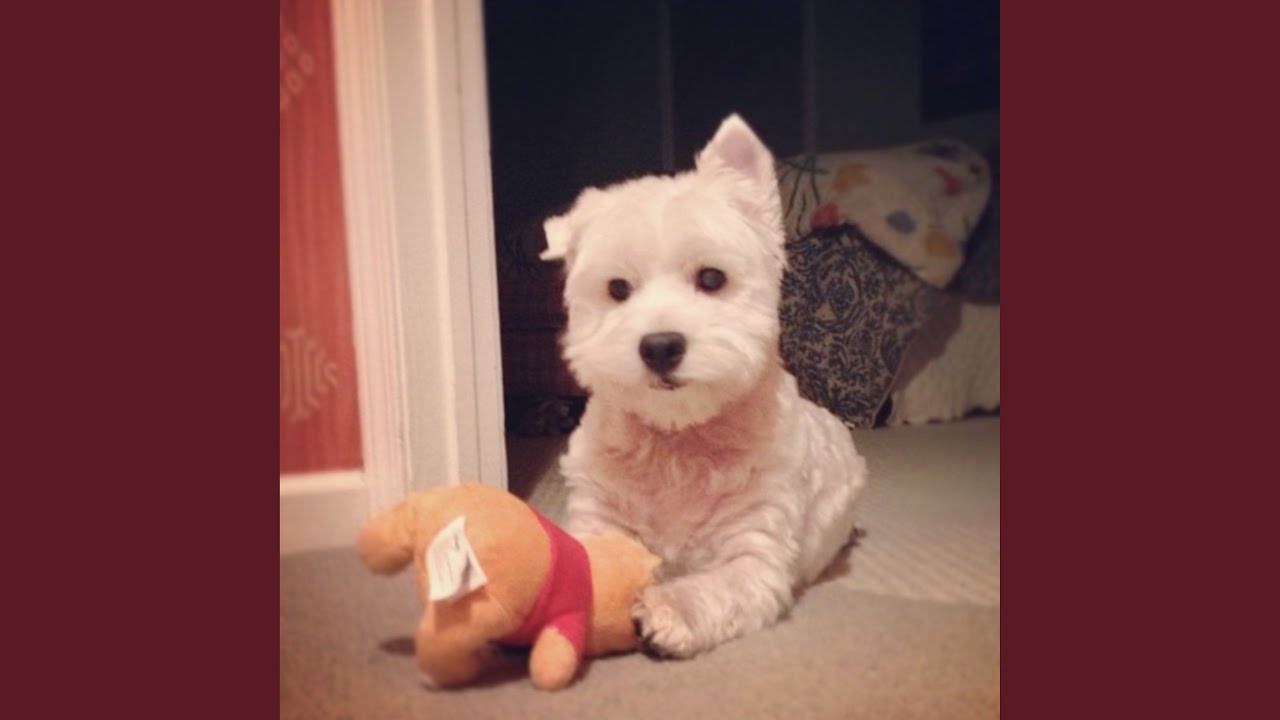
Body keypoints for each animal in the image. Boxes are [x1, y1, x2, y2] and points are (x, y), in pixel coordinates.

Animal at [539, 114, 867, 658]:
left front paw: (669, 611)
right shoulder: (599, 518)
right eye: (617, 289)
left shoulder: (755, 553)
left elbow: (715, 586)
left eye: (712, 278)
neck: (678, 439)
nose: (659, 346)